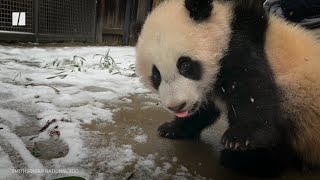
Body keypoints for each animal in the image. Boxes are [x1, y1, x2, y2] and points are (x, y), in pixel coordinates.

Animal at [135, 0, 320, 174]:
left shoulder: (240, 46)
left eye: (185, 65)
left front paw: (239, 139)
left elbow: (251, 89)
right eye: (156, 75)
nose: (177, 106)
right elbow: (205, 109)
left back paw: (243, 160)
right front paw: (172, 128)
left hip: (299, 100)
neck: (225, 28)